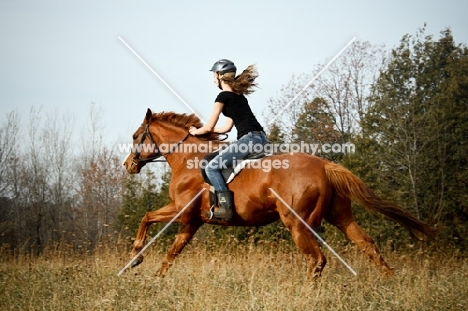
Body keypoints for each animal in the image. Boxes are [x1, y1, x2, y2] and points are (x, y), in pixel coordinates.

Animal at [122, 109, 436, 278]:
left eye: (137, 136)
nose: (128, 165)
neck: (187, 159)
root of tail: (324, 165)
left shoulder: (181, 211)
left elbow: (146, 217)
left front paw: (135, 257)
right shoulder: (192, 222)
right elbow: (172, 254)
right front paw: (155, 279)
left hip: (297, 223)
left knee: (317, 260)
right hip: (340, 215)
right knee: (367, 244)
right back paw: (390, 281)